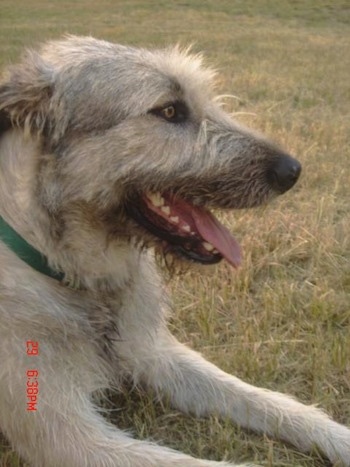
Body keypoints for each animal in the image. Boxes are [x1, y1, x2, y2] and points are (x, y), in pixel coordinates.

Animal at [0, 34, 348, 466]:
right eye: (169, 111)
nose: (293, 170)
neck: (61, 264)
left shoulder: (156, 353)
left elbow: (263, 399)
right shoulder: (65, 434)